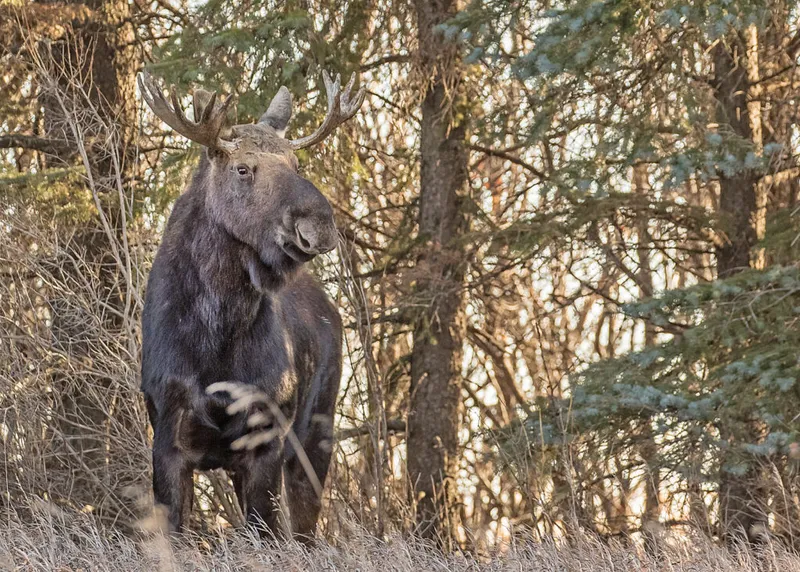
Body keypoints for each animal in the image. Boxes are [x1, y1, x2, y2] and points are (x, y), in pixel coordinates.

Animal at [138, 70, 364, 540]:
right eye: (242, 168)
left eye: (296, 164)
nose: (319, 222)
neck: (215, 336)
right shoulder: (168, 438)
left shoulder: (266, 441)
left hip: (317, 433)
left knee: (306, 531)